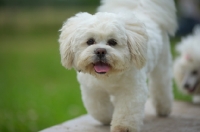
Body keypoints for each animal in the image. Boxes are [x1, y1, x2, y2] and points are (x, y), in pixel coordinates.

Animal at [59, 0, 177, 131]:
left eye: (112, 42)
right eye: (90, 41)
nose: (100, 51)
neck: (108, 76)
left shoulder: (132, 90)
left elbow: (127, 112)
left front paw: (123, 127)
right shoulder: (93, 91)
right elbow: (99, 109)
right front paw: (107, 118)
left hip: (162, 63)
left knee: (161, 85)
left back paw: (163, 108)